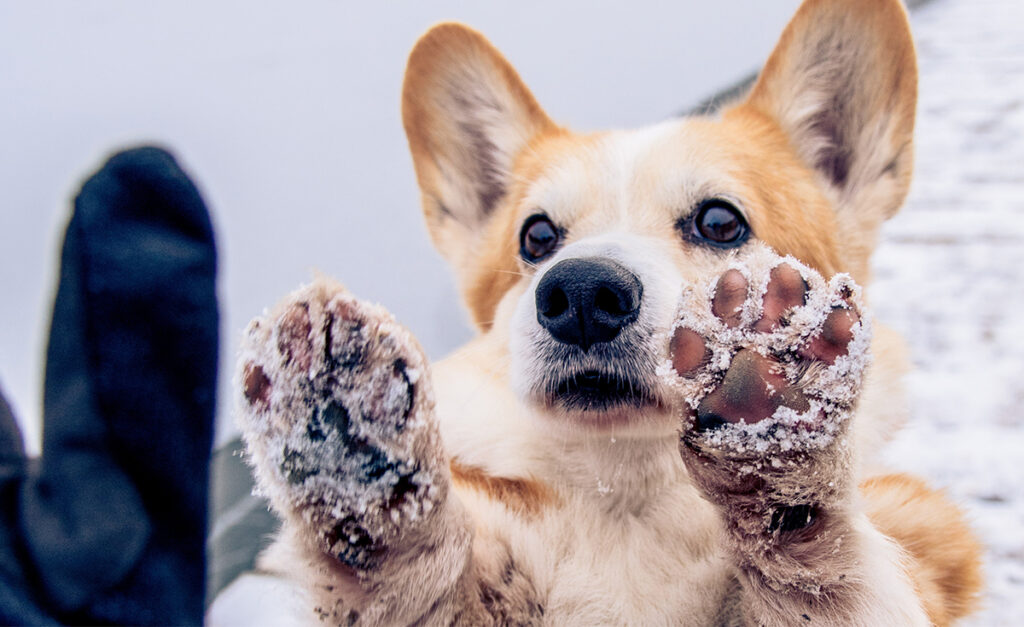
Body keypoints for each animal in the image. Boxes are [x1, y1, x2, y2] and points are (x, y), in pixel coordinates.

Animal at [235, 0, 978, 622]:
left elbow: (825, 570)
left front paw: (773, 420)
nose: (583, 295)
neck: (626, 499)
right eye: (536, 237)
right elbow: (418, 581)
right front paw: (351, 440)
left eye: (720, 221)